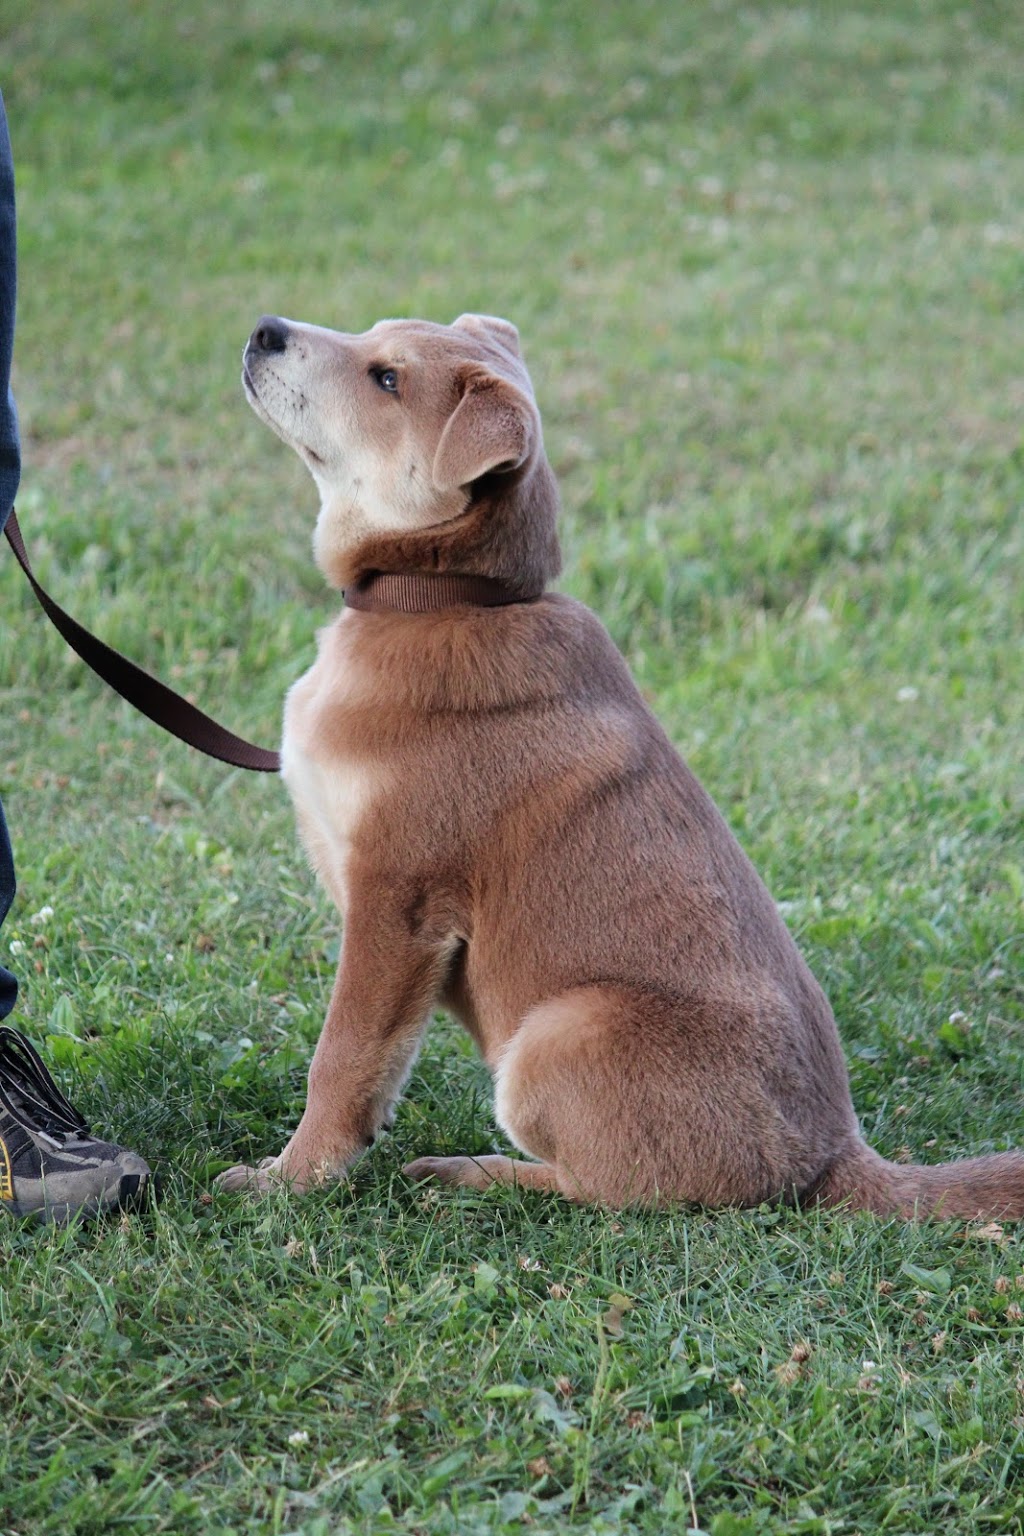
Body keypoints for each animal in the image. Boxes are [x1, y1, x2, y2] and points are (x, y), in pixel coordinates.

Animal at [218, 314, 1024, 1222]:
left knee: (607, 1190)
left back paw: (472, 1173)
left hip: (561, 1030)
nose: (266, 328)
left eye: (387, 379)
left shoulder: (399, 898)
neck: (445, 597)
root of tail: (831, 1157)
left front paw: (288, 1182)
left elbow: (345, 1057)